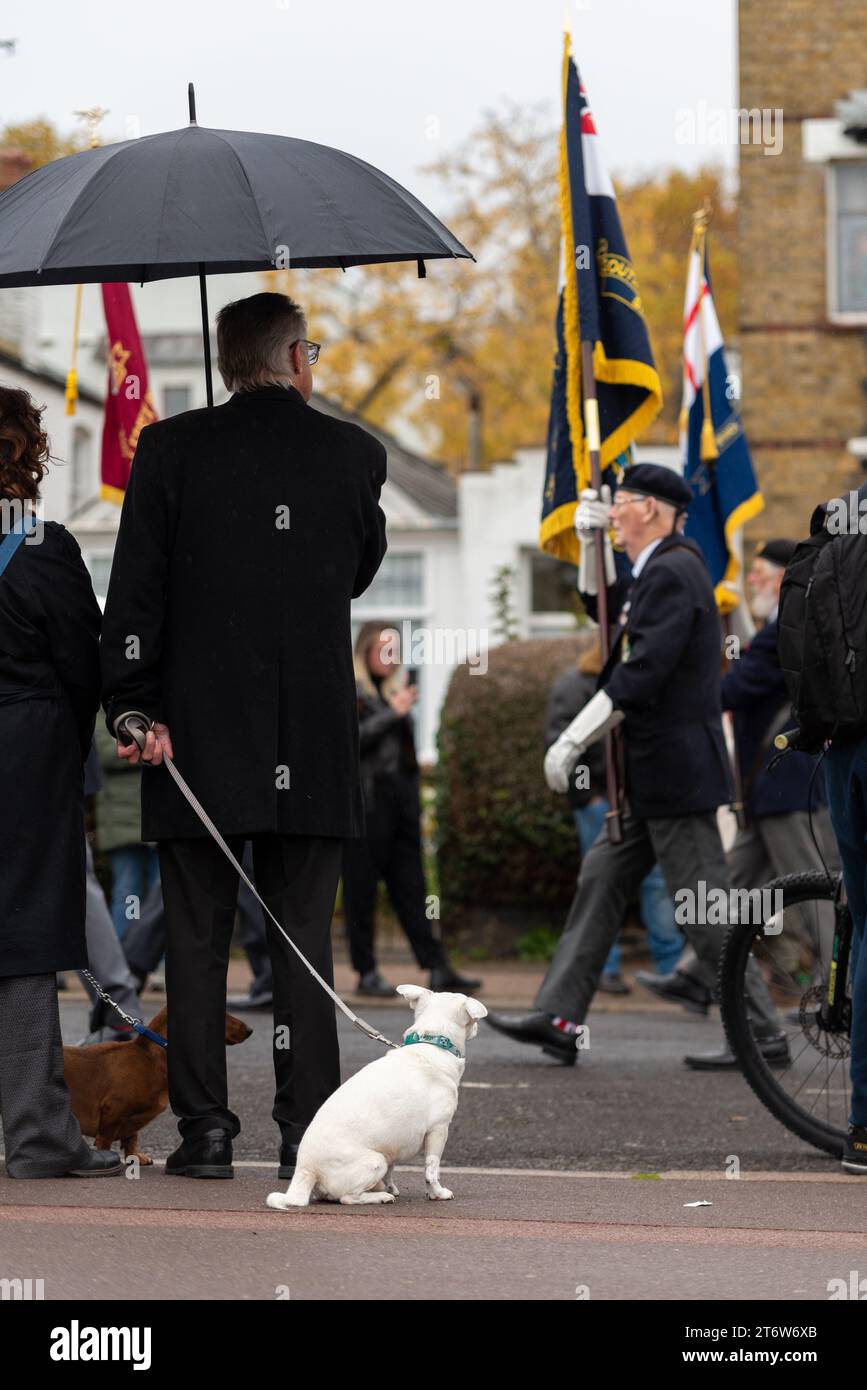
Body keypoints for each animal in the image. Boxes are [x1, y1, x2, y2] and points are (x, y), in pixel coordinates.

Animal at [265, 989, 489, 1206]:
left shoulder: (392, 1145)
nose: (479, 1028)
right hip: (375, 1161)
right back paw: (380, 1197)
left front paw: (390, 1186)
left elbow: (392, 1170)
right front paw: (437, 1193)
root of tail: (305, 1170)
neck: (432, 1042)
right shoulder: (438, 1130)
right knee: (348, 1198)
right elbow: (431, 1170)